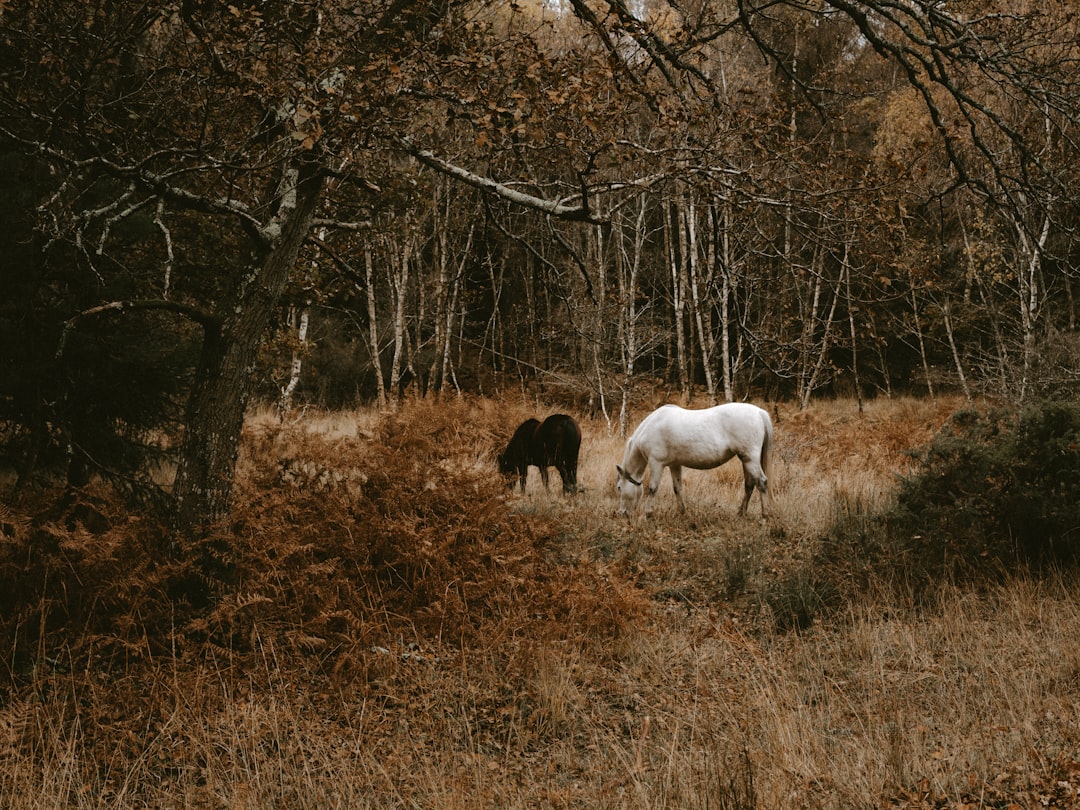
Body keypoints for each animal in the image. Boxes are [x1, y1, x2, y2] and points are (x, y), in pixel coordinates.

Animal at [617, 403, 768, 516]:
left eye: (619, 488)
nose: (623, 513)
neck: (651, 427)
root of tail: (759, 412)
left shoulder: (656, 463)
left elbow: (653, 488)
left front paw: (648, 514)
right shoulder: (675, 465)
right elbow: (677, 488)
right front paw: (682, 512)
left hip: (750, 460)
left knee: (762, 482)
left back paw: (764, 517)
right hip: (746, 461)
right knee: (749, 485)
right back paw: (741, 514)